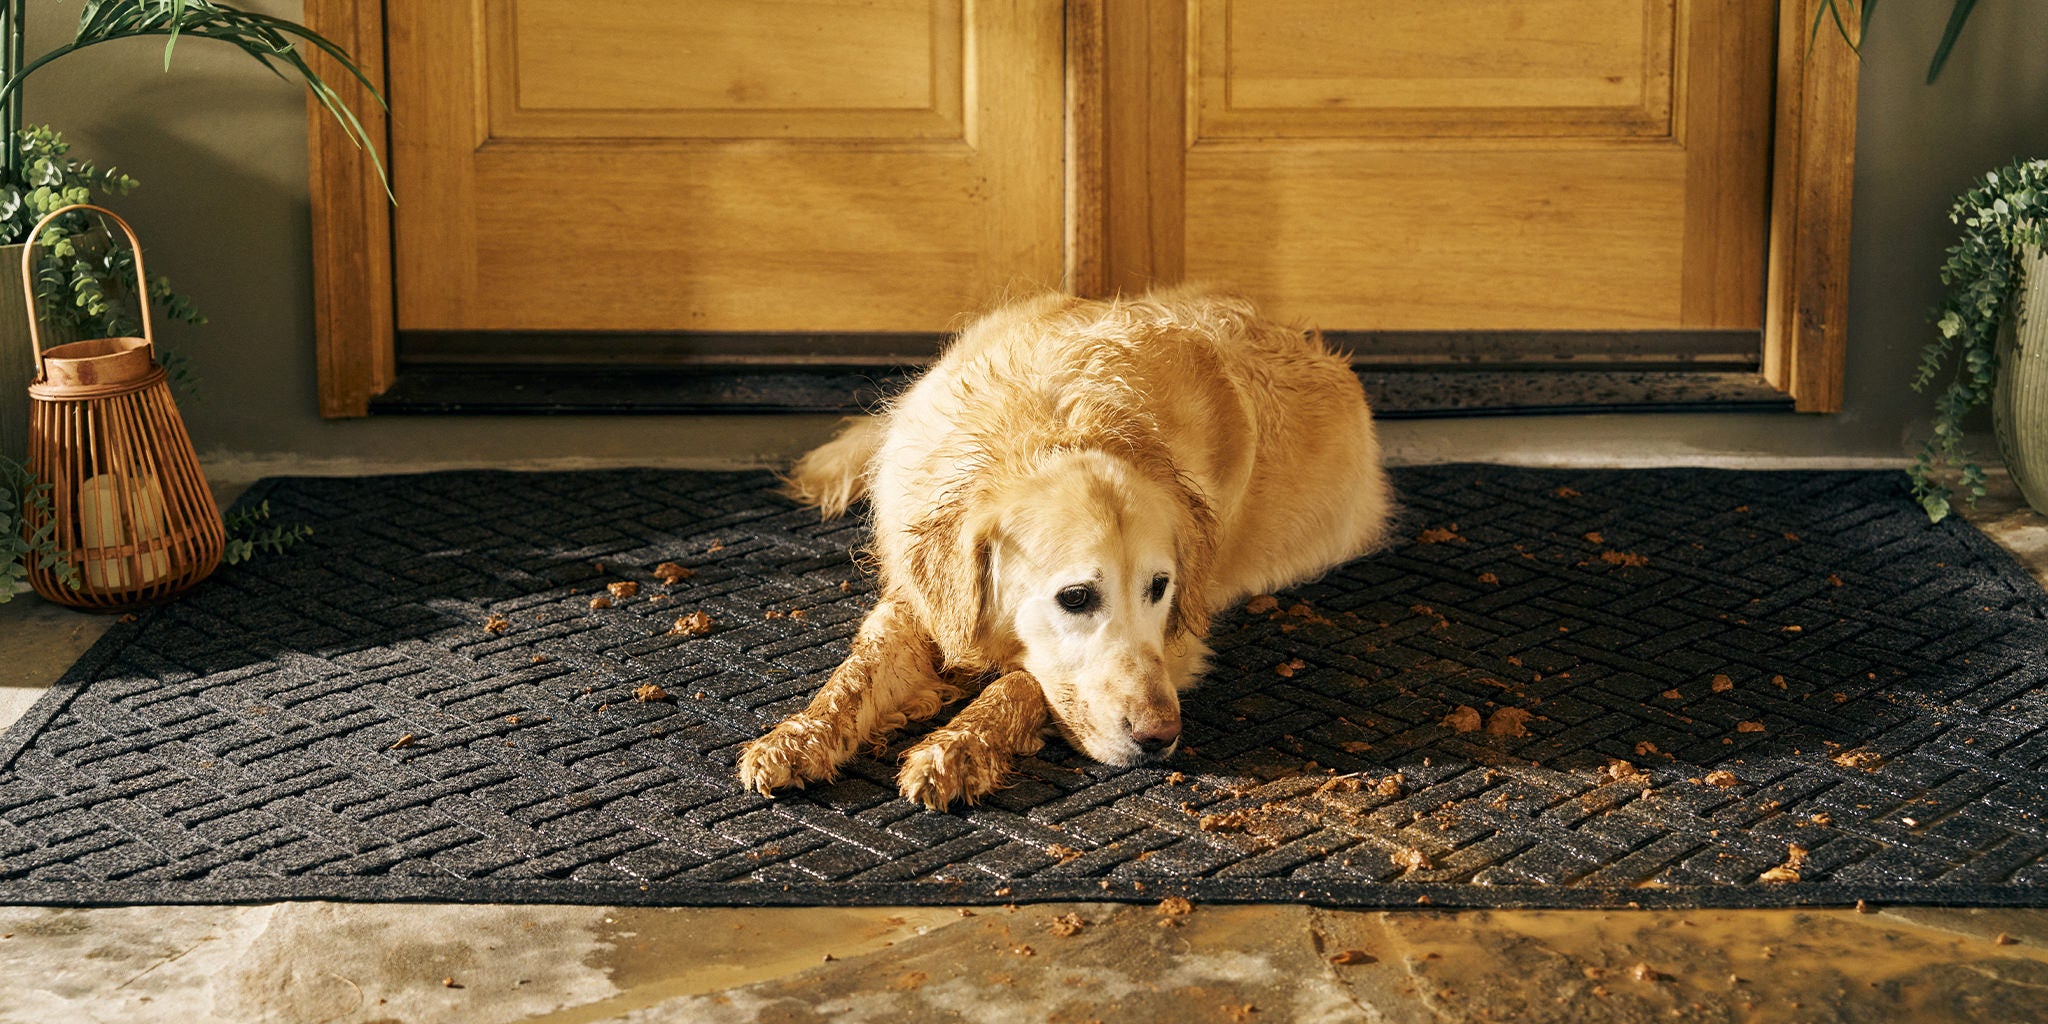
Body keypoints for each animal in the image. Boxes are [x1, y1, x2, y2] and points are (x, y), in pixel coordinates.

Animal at [737, 288, 1392, 806]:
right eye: (1075, 597)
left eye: (1161, 587)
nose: (1160, 736)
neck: (1047, 427)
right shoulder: (921, 597)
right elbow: (858, 669)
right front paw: (796, 736)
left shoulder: (1180, 642)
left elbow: (1024, 681)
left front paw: (958, 747)